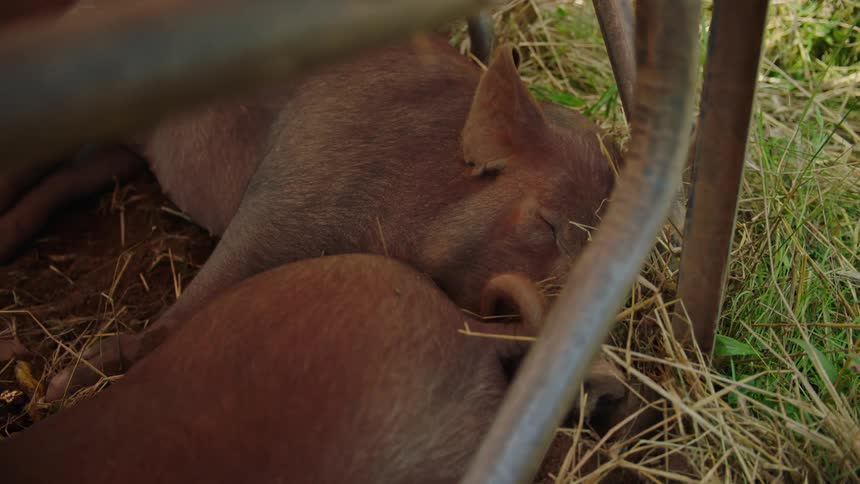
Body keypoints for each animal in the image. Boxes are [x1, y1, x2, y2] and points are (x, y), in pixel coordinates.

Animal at [0, 25, 620, 399]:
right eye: (547, 223)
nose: (607, 381)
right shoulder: (293, 184)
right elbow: (182, 315)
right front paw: (58, 388)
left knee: (78, 173)